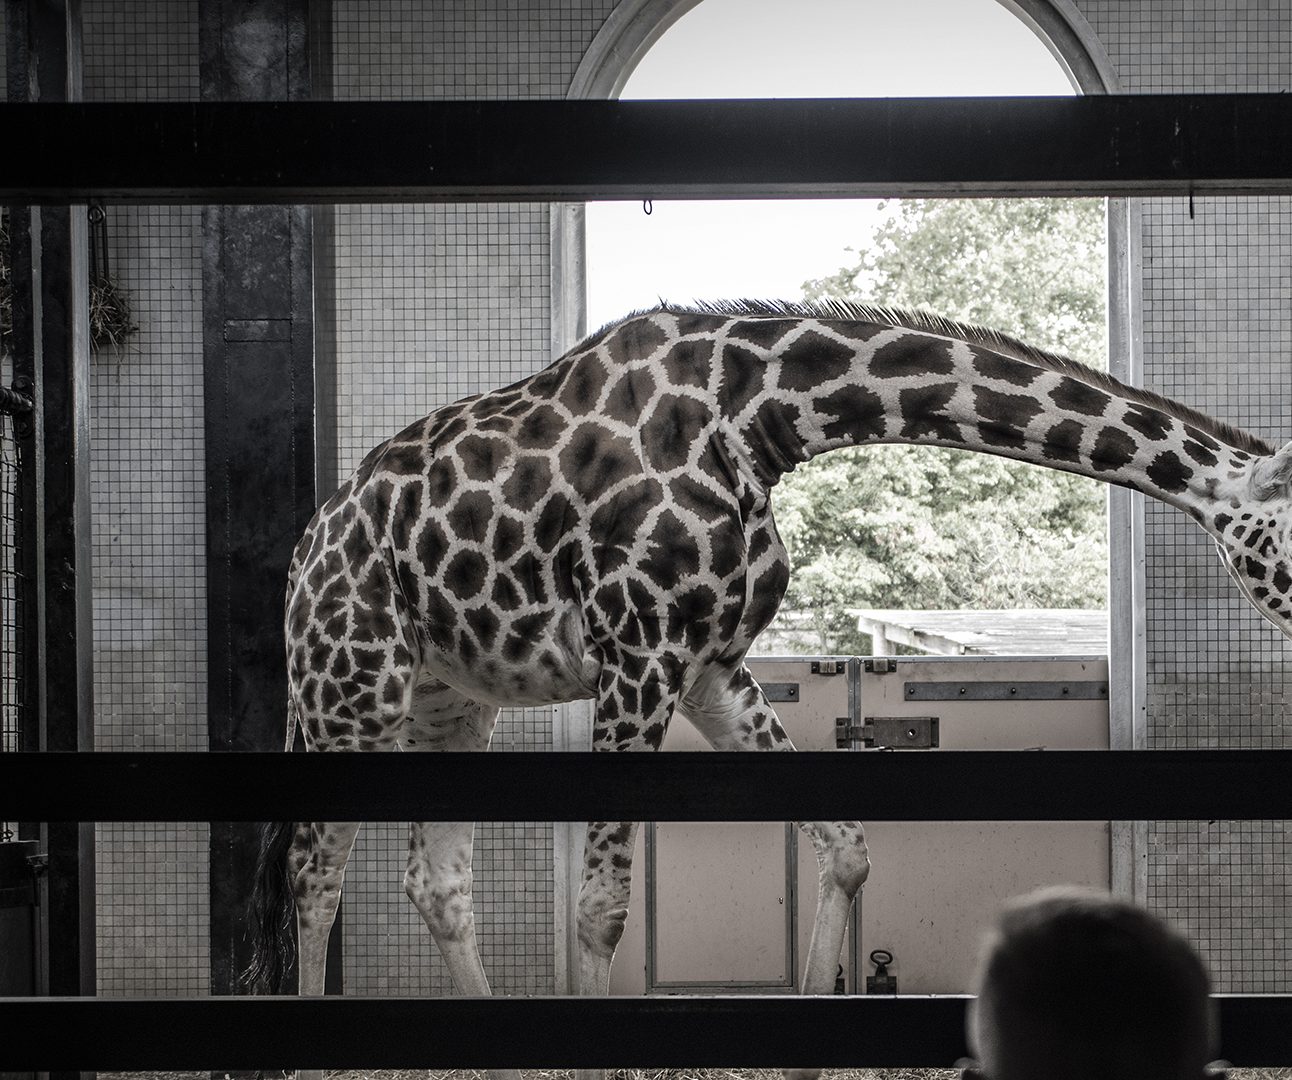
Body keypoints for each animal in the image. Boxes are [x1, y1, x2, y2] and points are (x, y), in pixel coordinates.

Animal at [246, 299, 1286, 1080]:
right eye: (1286, 537)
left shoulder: (711, 665)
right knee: (313, 871)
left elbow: (848, 848)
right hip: (350, 688)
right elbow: (601, 907)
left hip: (452, 698)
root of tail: (305, 552)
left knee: (436, 883)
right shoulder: (638, 652)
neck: (755, 419)